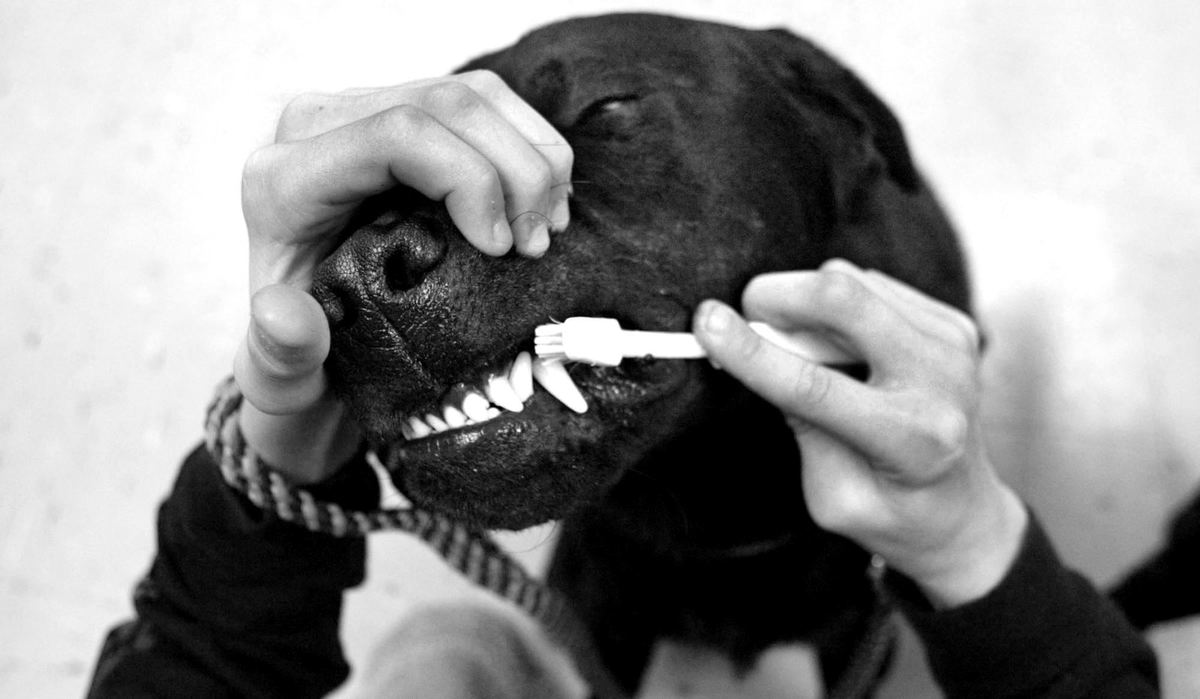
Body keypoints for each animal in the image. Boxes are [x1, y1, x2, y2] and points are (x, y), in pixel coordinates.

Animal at [307, 10, 964, 696]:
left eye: (608, 105)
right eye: (372, 197)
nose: (357, 282)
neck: (712, 508)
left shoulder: (857, 639)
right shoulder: (599, 626)